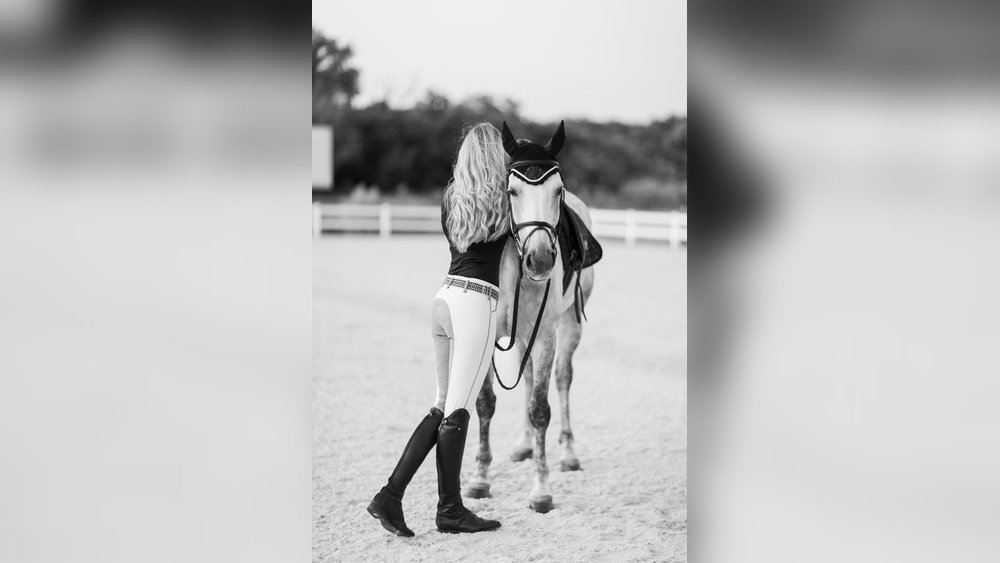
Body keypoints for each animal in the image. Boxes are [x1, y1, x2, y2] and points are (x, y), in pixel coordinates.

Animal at [464, 121, 597, 514]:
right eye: (512, 190)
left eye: (558, 191)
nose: (539, 260)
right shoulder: (494, 335)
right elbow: (486, 404)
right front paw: (479, 479)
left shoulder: (546, 337)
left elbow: (541, 408)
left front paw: (541, 490)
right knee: (525, 380)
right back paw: (523, 445)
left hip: (569, 326)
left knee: (563, 379)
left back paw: (568, 453)